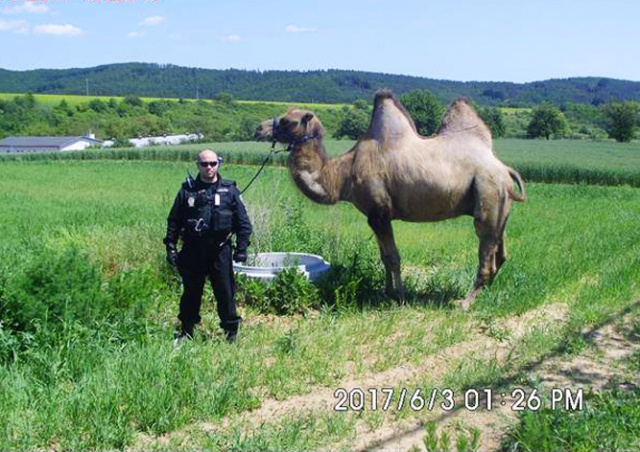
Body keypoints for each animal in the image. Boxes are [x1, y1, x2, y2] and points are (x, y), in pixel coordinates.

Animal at [254, 89, 524, 308]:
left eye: (288, 121)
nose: (258, 129)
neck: (342, 175)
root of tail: (505, 170)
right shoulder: (373, 217)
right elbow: (384, 257)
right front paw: (387, 292)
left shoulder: (379, 212)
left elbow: (393, 258)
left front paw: (402, 298)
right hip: (500, 205)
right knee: (500, 252)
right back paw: (484, 293)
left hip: (488, 190)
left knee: (486, 250)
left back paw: (465, 303)